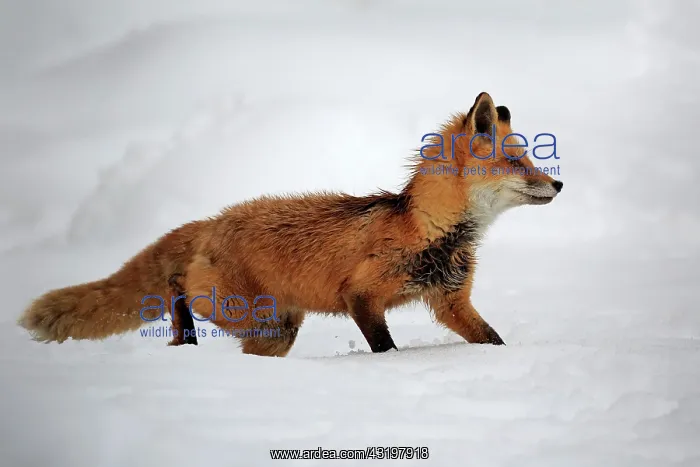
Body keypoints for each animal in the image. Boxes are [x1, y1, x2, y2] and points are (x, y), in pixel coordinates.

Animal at [18, 91, 562, 357]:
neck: (429, 230)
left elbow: (492, 339)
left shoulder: (451, 301)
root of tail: (213, 220)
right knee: (178, 288)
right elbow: (383, 347)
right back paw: (183, 332)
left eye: (532, 159)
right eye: (518, 164)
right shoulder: (361, 295)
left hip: (274, 330)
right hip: (240, 310)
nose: (558, 185)